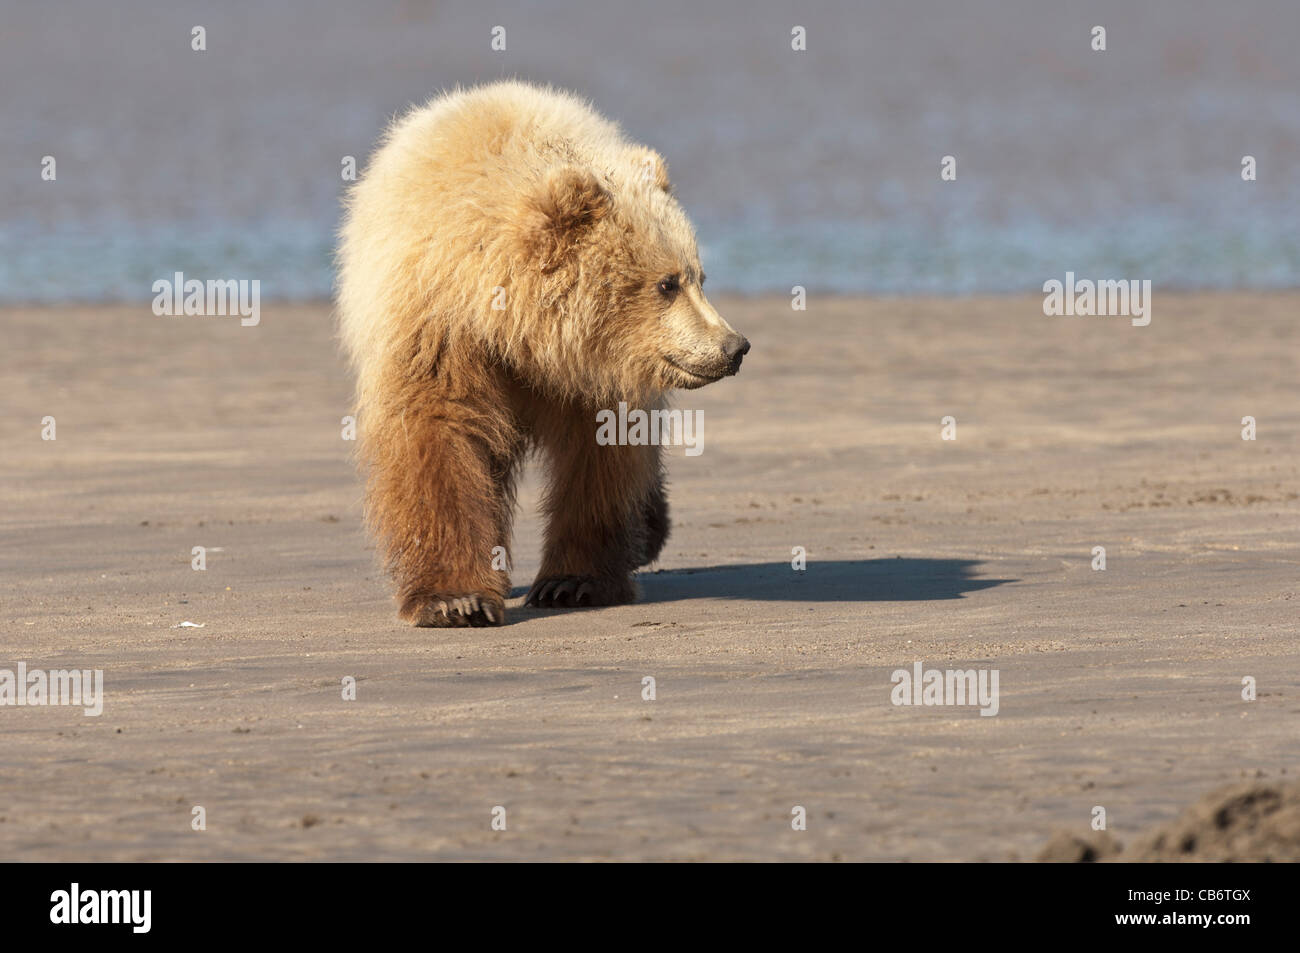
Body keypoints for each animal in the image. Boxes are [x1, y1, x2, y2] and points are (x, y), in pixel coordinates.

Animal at [336, 81, 749, 627]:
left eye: (699, 276)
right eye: (667, 283)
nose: (734, 346)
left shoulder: (595, 376)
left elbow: (601, 456)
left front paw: (573, 581)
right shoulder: (436, 332)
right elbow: (438, 436)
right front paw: (455, 600)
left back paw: (648, 529)